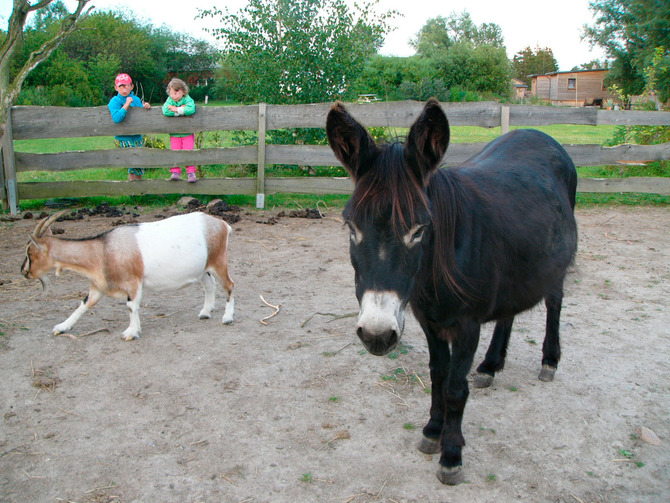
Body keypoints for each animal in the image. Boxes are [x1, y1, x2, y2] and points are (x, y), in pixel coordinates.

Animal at [21, 211, 236, 340]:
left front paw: (131, 332)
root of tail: (222, 224)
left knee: (229, 285)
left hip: (218, 261)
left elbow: (131, 306)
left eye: (30, 253)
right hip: (201, 268)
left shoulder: (134, 282)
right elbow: (83, 305)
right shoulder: (98, 286)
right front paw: (62, 327)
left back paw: (227, 317)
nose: (24, 272)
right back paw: (205, 312)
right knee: (209, 285)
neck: (102, 250)